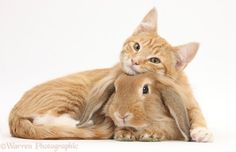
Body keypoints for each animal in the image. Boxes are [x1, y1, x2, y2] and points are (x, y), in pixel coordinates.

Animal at [8, 7, 212, 142]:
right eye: (136, 46)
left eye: (154, 60)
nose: (135, 61)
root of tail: (14, 113)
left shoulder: (189, 99)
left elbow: (197, 114)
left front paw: (201, 132)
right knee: (45, 119)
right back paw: (86, 124)